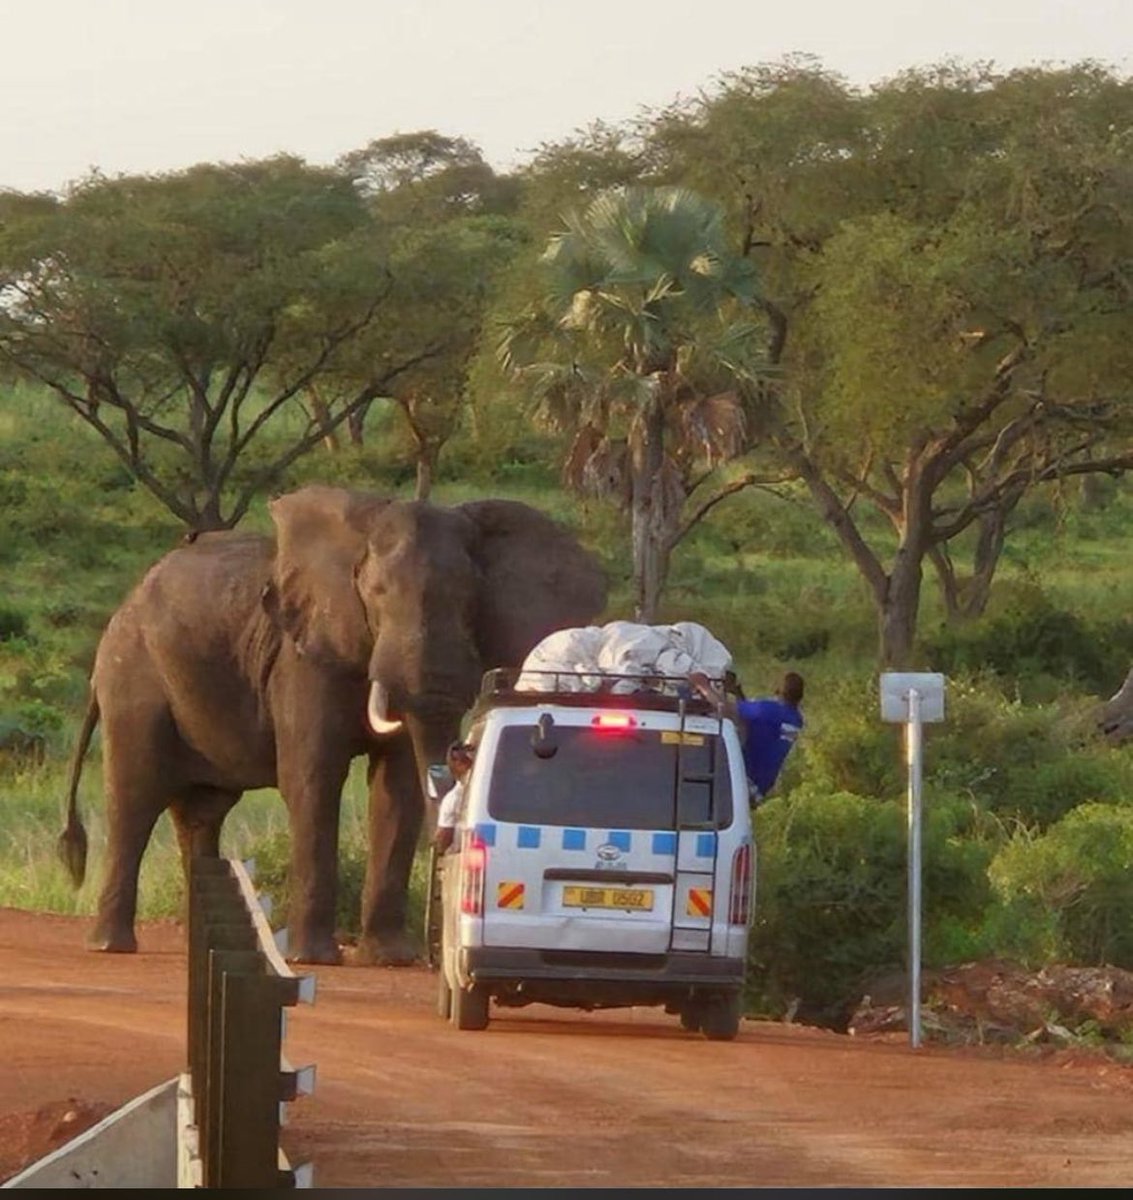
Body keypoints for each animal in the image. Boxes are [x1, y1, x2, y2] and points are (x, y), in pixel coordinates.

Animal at [58, 485, 608, 965]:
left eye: (469, 601)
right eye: (375, 595)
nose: (433, 953)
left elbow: (398, 788)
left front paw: (390, 959)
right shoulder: (303, 658)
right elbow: (313, 777)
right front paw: (313, 959)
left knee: (201, 813)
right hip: (134, 676)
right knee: (135, 796)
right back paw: (111, 946)